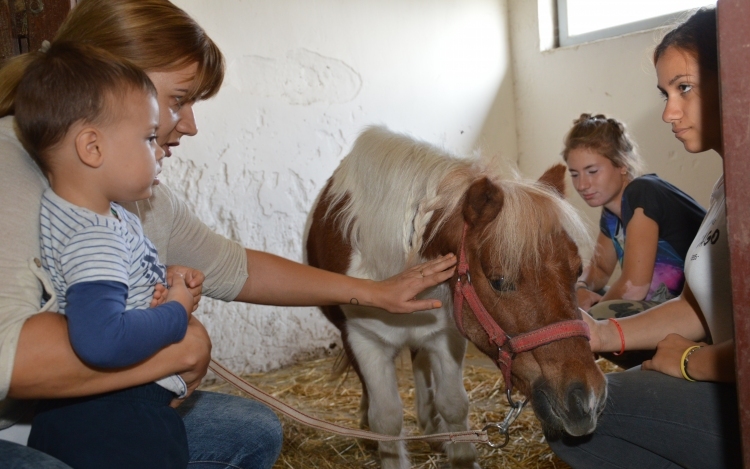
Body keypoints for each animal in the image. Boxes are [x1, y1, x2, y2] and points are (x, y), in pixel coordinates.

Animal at [308, 126, 608, 466]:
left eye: (578, 270)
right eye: (499, 281)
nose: (587, 399)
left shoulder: (447, 335)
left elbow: (453, 404)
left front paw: (458, 452)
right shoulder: (365, 341)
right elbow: (386, 420)